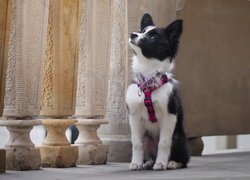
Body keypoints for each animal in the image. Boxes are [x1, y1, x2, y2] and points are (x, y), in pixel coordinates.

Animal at [126, 13, 190, 170]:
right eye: (142, 31)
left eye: (153, 37)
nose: (133, 34)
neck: (148, 80)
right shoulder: (134, 116)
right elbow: (137, 143)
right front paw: (136, 163)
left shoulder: (170, 115)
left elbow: (164, 143)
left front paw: (161, 163)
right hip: (147, 136)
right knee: (147, 149)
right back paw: (148, 162)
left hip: (178, 138)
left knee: (184, 159)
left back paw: (172, 162)